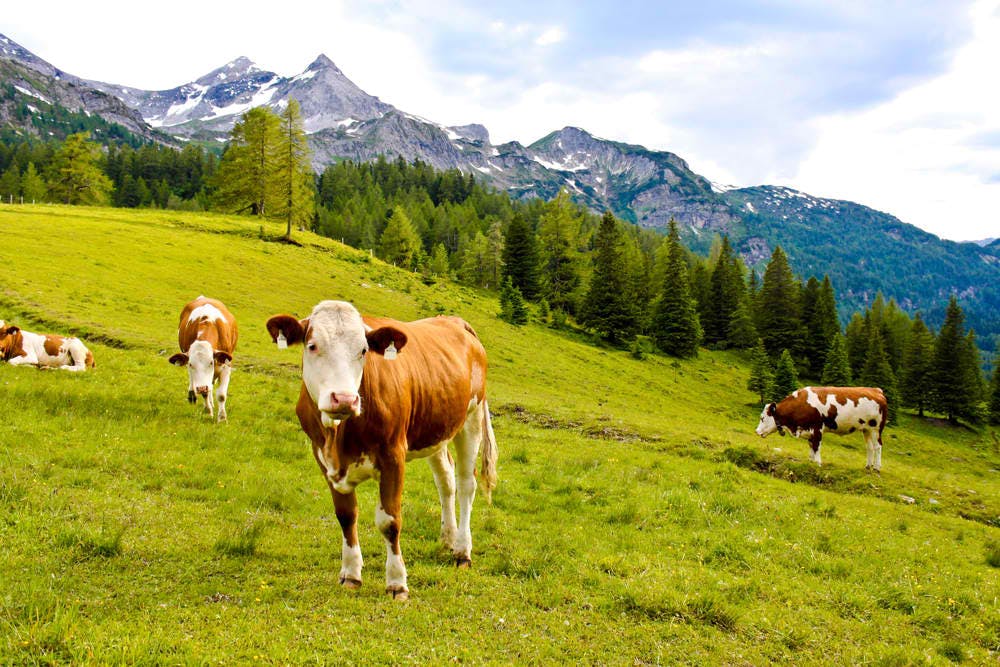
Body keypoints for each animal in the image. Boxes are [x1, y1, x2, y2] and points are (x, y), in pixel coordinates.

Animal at [266, 300, 499, 600]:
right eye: (313, 346)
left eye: (364, 350)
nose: (344, 398)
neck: (338, 437)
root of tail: (454, 321)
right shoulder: (324, 460)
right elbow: (346, 516)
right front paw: (351, 573)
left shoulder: (393, 457)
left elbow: (390, 522)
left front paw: (397, 582)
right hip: (437, 427)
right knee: (446, 481)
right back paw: (448, 538)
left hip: (472, 417)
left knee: (466, 485)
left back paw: (462, 550)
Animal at [755, 386, 888, 471]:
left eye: (762, 418)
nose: (756, 432)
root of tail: (876, 390)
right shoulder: (809, 430)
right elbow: (811, 445)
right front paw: (811, 461)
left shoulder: (817, 428)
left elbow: (816, 446)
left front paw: (818, 463)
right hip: (866, 429)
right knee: (869, 447)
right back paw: (868, 466)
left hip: (876, 428)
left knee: (878, 446)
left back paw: (877, 468)